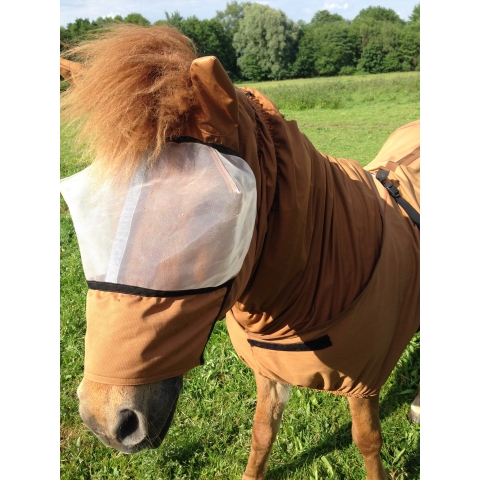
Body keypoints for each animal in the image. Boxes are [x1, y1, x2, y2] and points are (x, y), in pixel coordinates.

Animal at [60, 25, 420, 480]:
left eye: (208, 213)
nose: (105, 421)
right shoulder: (269, 375)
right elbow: (262, 435)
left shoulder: (364, 383)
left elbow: (368, 442)